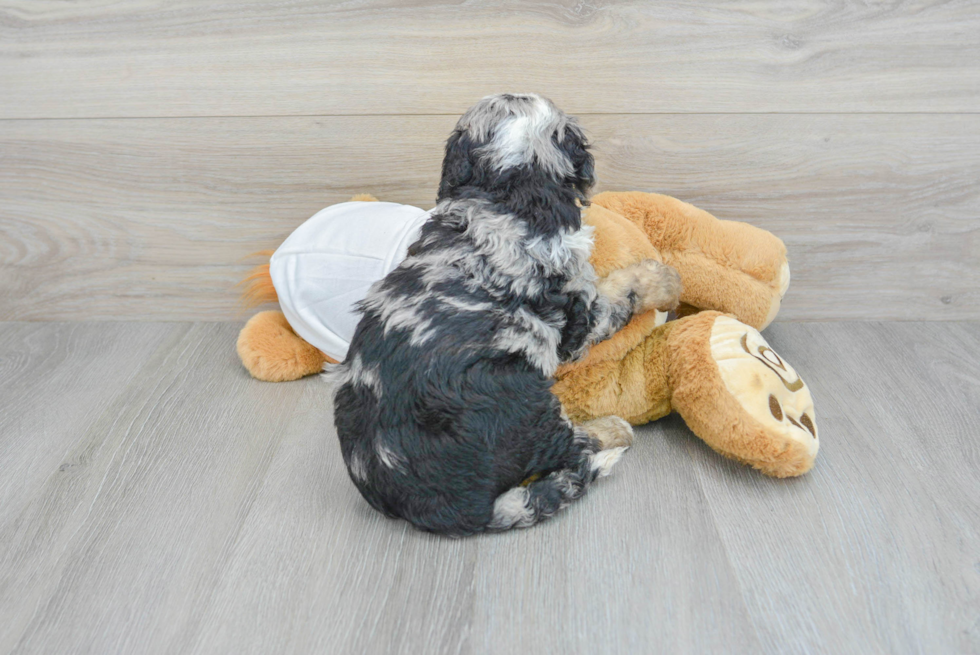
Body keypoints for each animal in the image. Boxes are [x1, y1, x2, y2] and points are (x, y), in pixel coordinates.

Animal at [334, 93, 676, 540]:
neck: (510, 190)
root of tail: (448, 509)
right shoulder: (578, 313)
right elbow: (619, 292)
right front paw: (662, 278)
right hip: (523, 406)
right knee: (570, 448)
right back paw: (614, 430)